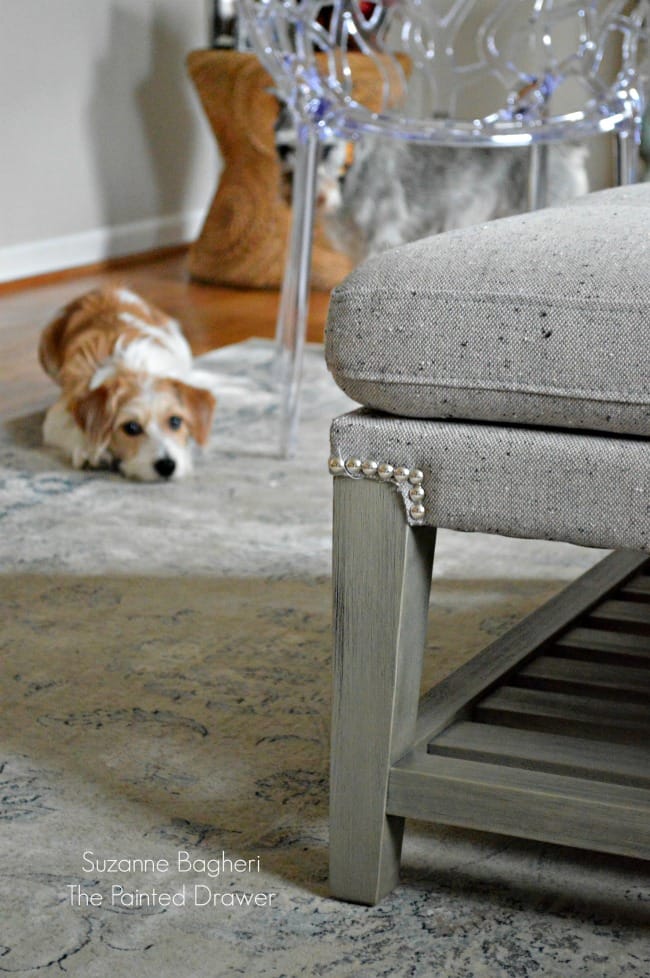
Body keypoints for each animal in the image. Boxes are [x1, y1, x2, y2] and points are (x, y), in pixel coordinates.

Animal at [39, 286, 216, 480]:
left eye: (175, 421)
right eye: (131, 427)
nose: (167, 466)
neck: (135, 369)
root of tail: (106, 289)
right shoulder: (56, 417)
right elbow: (73, 429)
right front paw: (89, 451)